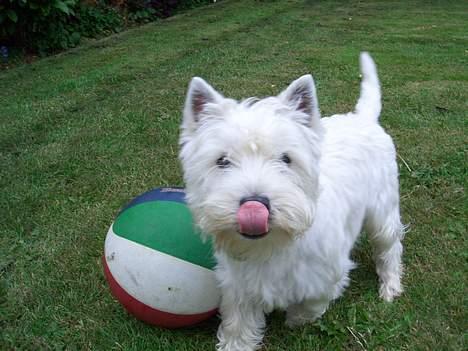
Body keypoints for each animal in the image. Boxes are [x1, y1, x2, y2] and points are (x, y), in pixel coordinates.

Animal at [177, 53, 404, 351]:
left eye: (286, 159)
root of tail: (362, 119)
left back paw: (390, 286)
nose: (255, 204)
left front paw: (295, 320)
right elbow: (238, 325)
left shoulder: (327, 276)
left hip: (382, 210)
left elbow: (310, 305)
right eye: (222, 161)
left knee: (390, 246)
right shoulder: (238, 285)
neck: (272, 246)